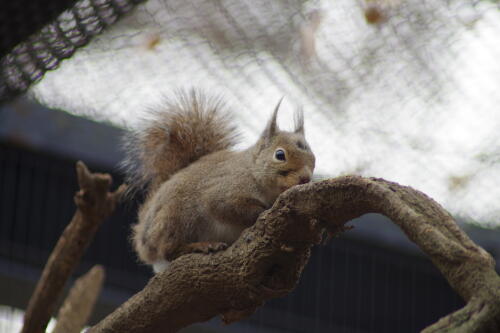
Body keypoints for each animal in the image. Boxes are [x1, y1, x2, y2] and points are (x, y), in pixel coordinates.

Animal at [121, 89, 314, 272]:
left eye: (313, 158)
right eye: (280, 155)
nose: (305, 178)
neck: (253, 172)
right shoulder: (224, 190)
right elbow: (227, 207)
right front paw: (264, 210)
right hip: (176, 217)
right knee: (169, 250)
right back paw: (199, 246)